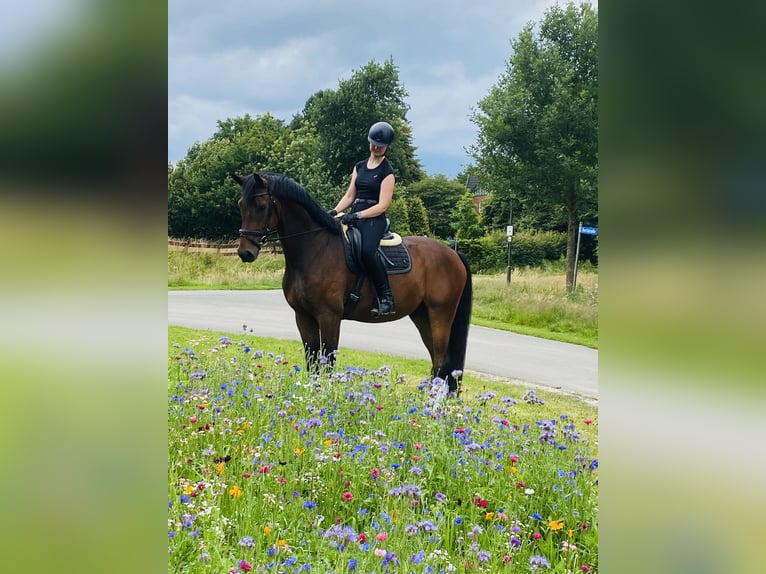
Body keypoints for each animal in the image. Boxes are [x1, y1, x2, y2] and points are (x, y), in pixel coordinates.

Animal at [232, 173, 474, 394]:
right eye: (241, 205)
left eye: (261, 206)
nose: (245, 252)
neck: (315, 248)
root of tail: (453, 254)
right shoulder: (303, 316)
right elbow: (313, 363)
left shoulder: (329, 316)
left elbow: (327, 362)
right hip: (422, 316)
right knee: (438, 364)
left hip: (440, 315)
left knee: (442, 364)